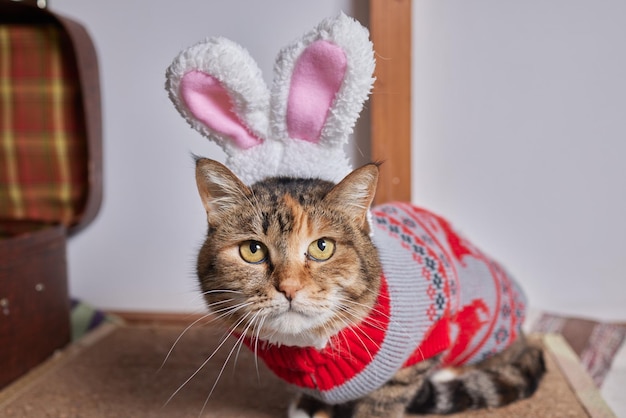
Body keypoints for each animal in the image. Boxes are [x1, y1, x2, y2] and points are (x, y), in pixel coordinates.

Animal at [193, 158, 544, 418]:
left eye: (322, 247)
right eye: (252, 250)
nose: (289, 288)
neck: (309, 350)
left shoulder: (423, 346)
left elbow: (385, 401)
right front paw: (309, 405)